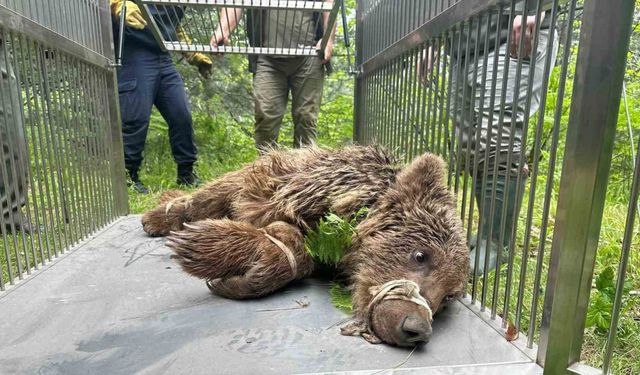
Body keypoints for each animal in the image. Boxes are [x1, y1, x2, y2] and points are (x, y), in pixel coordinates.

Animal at [142, 145, 468, 348]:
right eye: (420, 255)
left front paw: (242, 274)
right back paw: (159, 215)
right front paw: (203, 245)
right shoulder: (292, 187)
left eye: (449, 296)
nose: (416, 329)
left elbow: (296, 250)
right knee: (210, 192)